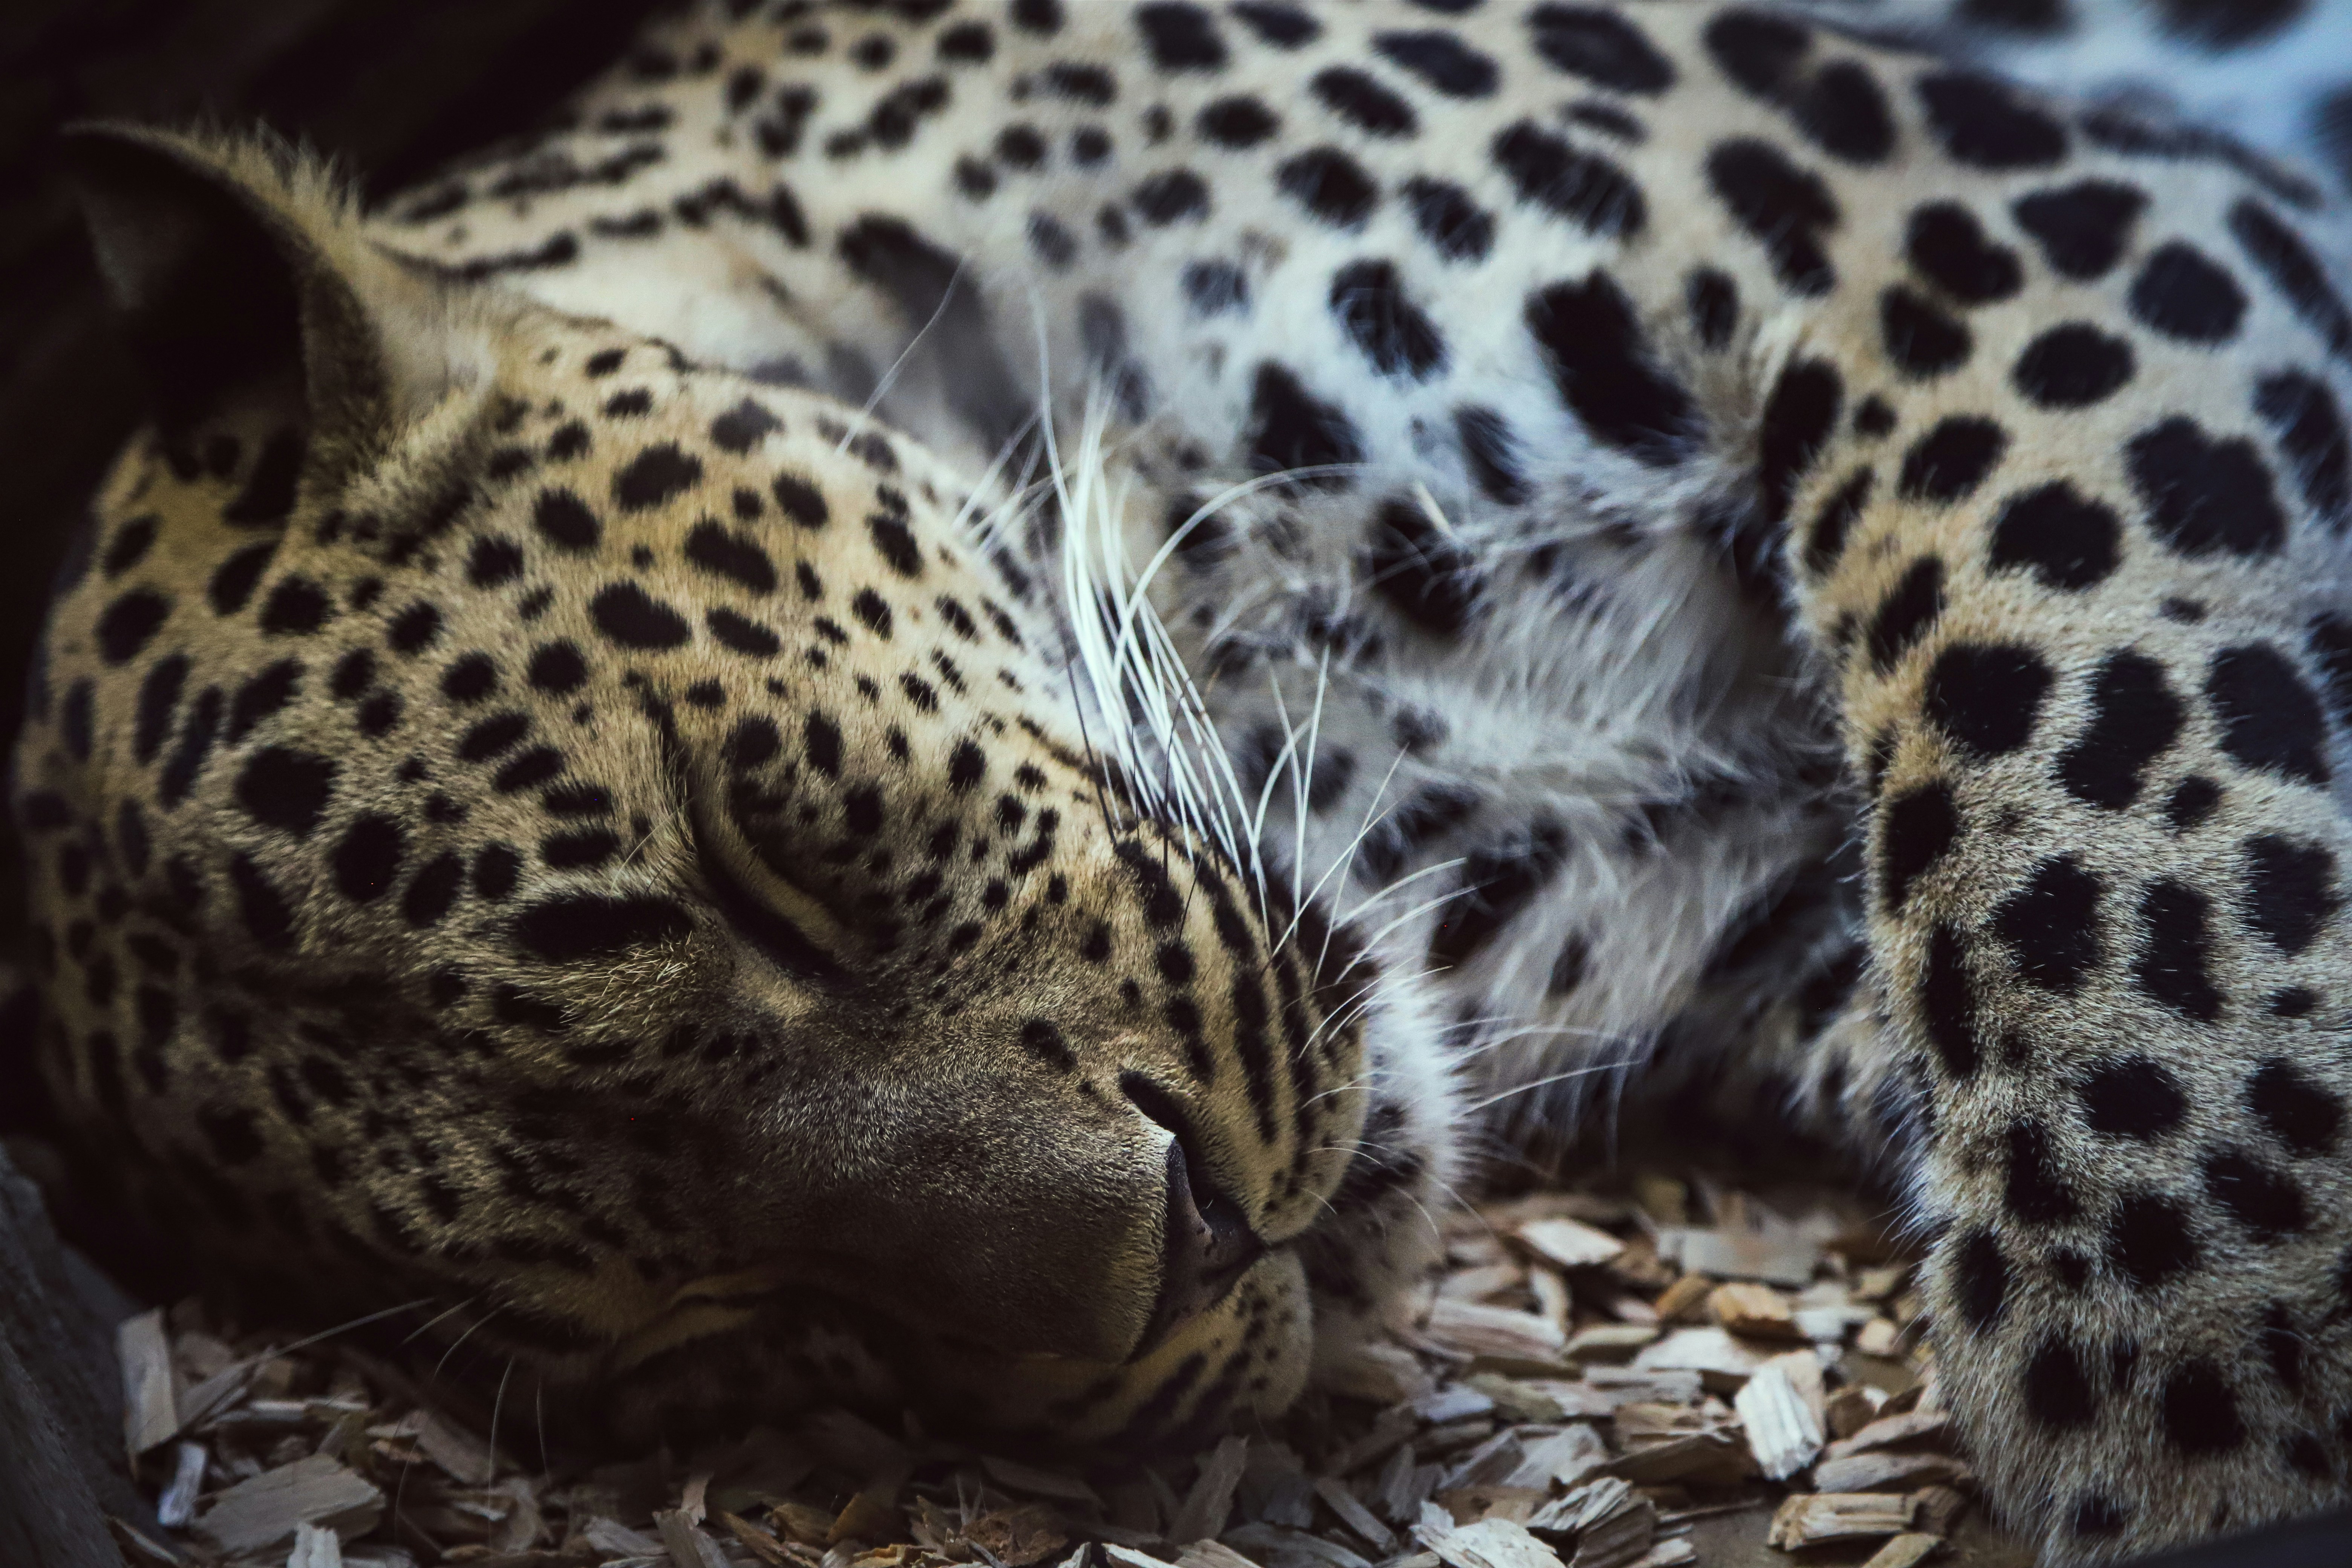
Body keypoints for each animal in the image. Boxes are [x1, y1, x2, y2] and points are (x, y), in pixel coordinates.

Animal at [16, 1, 2352, 1562]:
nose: (1192, 1246)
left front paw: (2216, 1428)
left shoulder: (1950, 233)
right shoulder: (1774, 915)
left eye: (756, 861)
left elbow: (2114, 821)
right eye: (720, 1323)